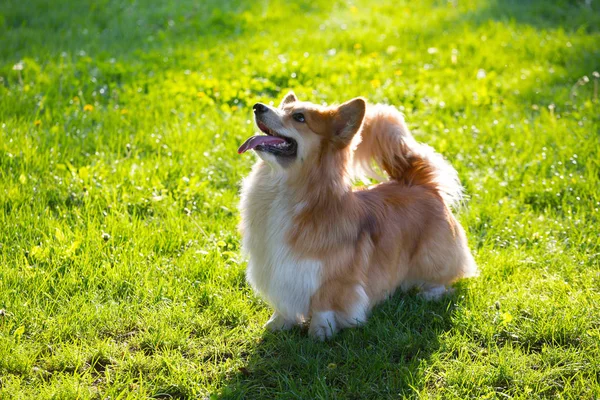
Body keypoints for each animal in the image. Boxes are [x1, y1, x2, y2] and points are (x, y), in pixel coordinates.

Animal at [237, 92, 476, 340]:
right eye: (283, 107)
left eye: (299, 117)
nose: (258, 107)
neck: (283, 191)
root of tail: (420, 183)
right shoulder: (277, 270)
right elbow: (283, 305)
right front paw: (277, 324)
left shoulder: (334, 278)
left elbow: (324, 306)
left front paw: (320, 333)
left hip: (432, 256)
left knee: (445, 277)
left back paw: (429, 293)